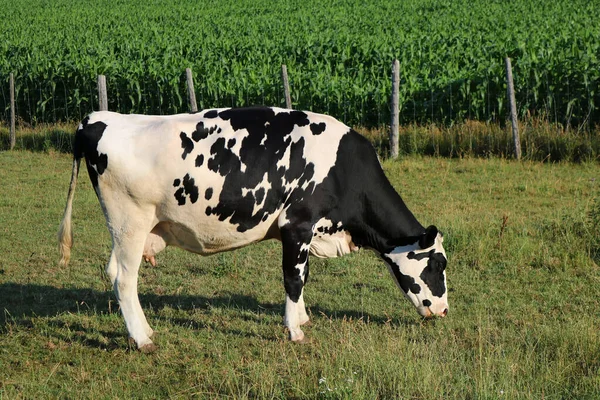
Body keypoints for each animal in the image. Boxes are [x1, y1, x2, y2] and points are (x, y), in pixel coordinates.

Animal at [58, 107, 448, 354]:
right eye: (437, 265)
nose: (444, 311)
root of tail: (98, 118)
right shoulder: (297, 224)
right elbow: (294, 279)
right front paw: (295, 330)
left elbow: (303, 276)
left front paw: (302, 318)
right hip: (130, 222)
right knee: (125, 279)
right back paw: (143, 340)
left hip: (127, 229)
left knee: (114, 272)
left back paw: (144, 330)